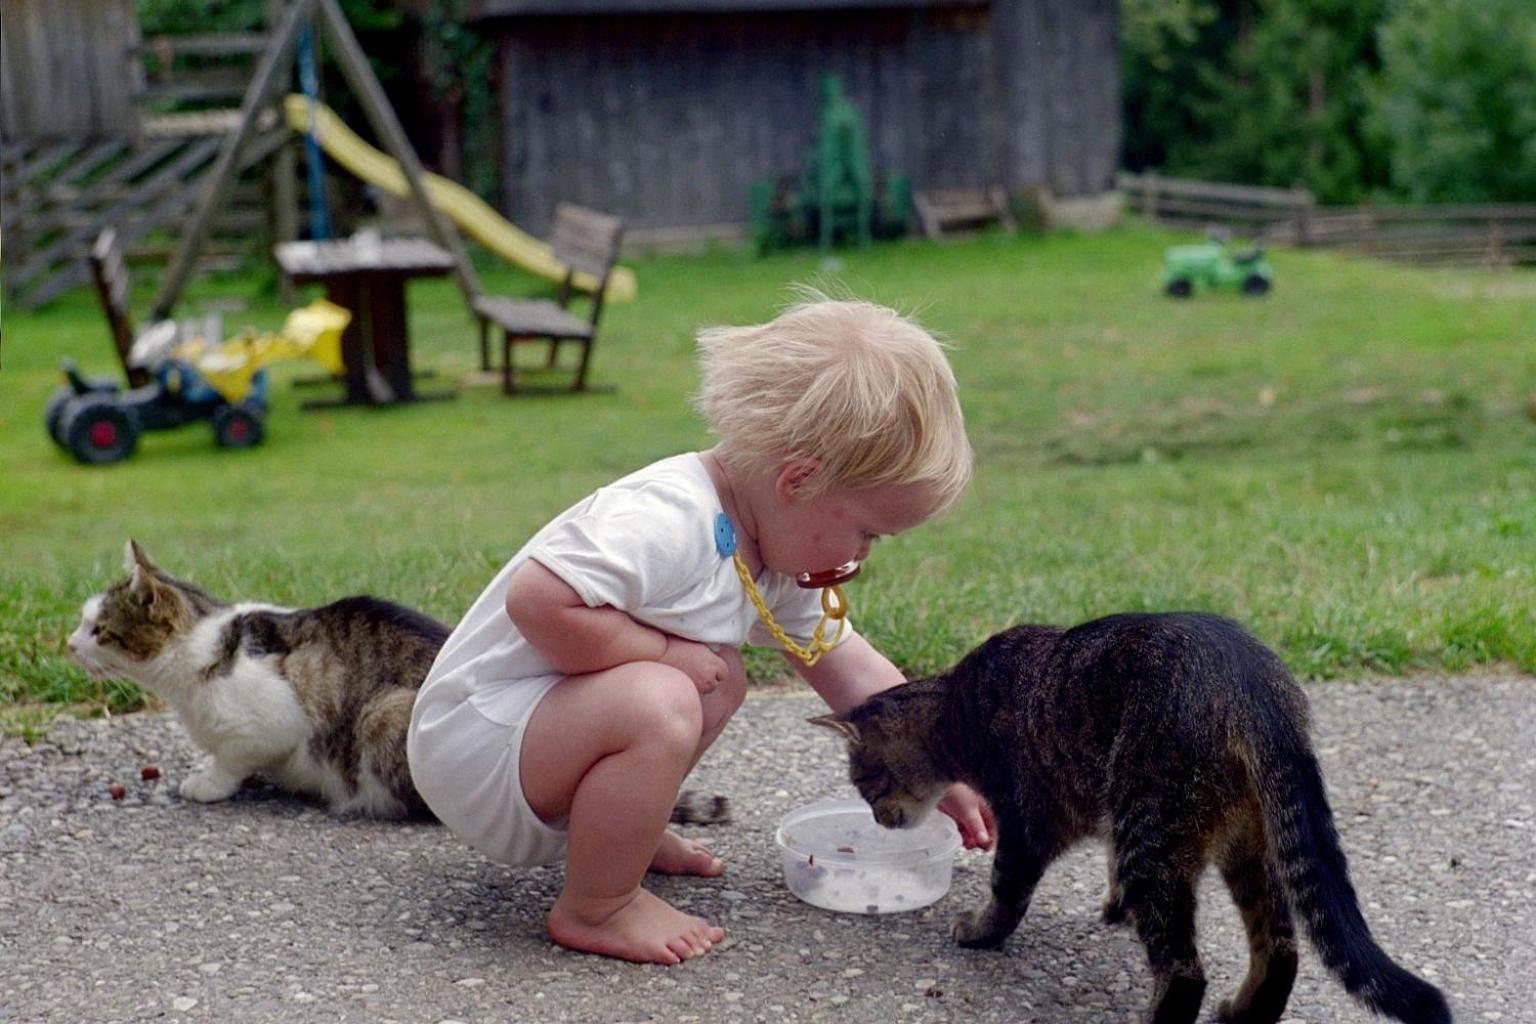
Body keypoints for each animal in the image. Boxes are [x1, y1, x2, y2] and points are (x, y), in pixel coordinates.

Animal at [74, 543, 734, 822]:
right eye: (83, 621)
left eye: (99, 628)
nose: (69, 644)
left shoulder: (271, 720)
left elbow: (236, 756)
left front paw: (208, 782)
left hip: (386, 716)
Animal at [817, 617, 1449, 1024]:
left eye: (865, 782)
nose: (877, 819)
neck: (956, 708)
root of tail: (1254, 690)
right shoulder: (1105, 818)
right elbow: (1109, 869)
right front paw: (1114, 903)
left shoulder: (1027, 820)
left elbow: (1006, 890)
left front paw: (980, 931)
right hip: (1248, 842)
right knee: (1280, 946)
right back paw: (1244, 1010)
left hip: (1153, 825)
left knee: (1187, 972)